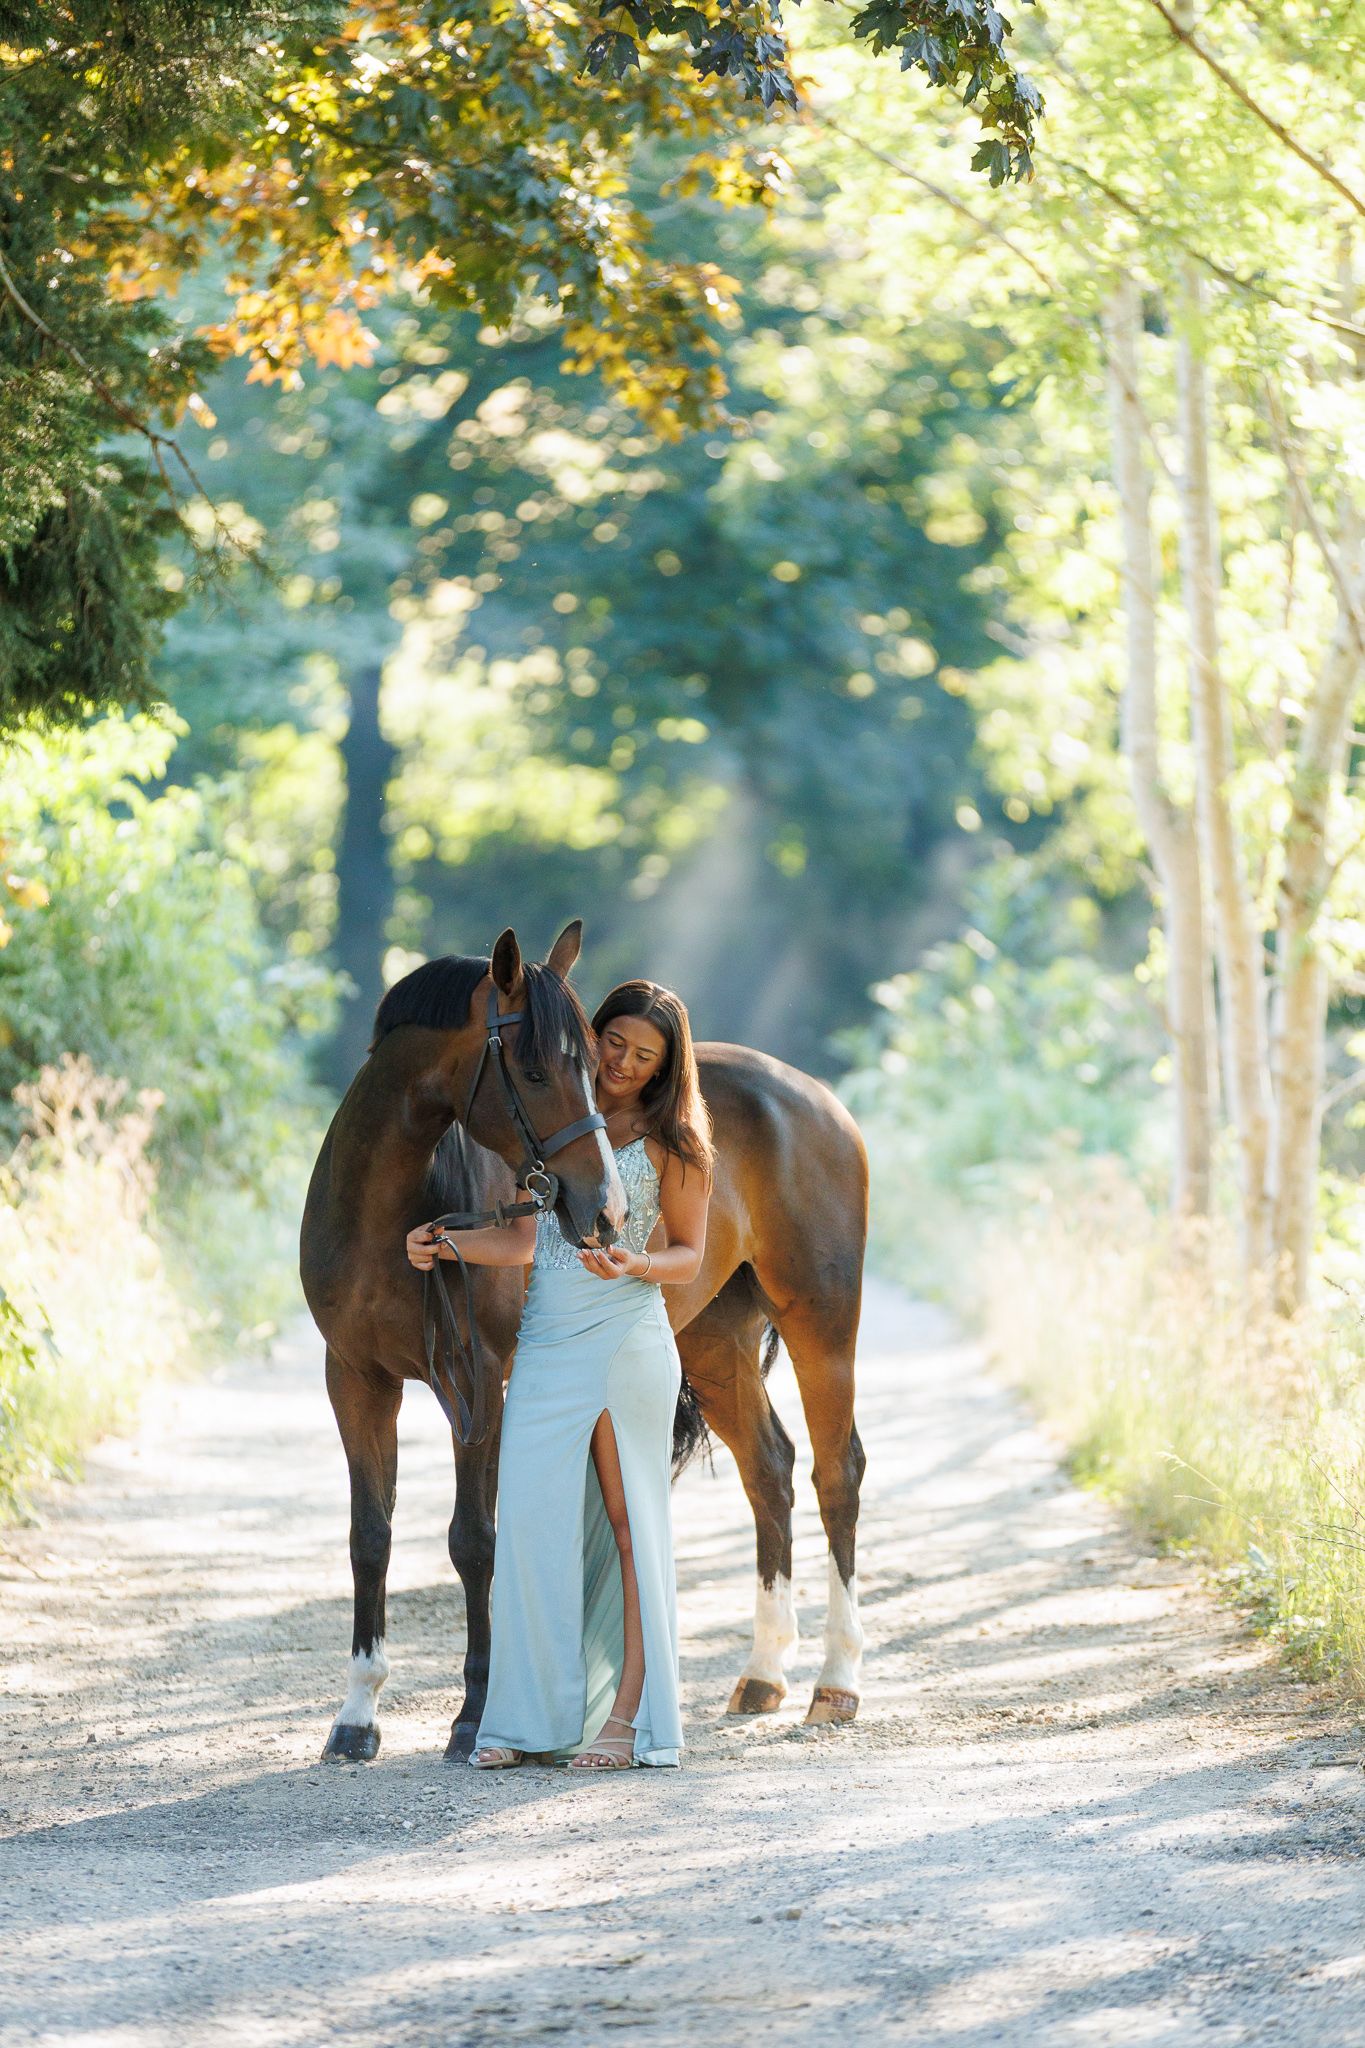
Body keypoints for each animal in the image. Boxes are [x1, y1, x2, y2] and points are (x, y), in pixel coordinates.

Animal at [300, 923, 868, 1761]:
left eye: (593, 1070)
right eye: (536, 1070)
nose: (606, 1209)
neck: (386, 1215)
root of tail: (817, 1097)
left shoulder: (477, 1380)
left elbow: (475, 1539)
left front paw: (473, 1716)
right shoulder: (354, 1378)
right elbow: (369, 1536)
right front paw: (356, 1717)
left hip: (821, 1326)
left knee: (837, 1474)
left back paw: (835, 1683)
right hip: (715, 1344)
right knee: (769, 1469)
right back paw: (762, 1674)